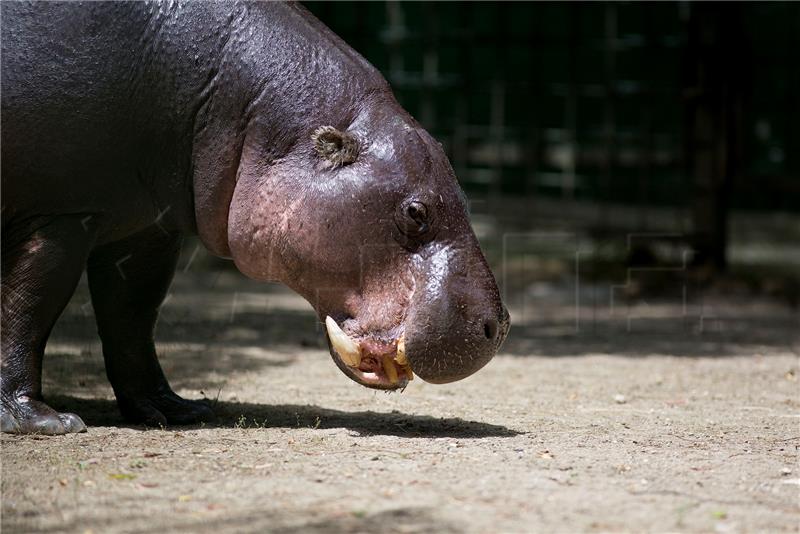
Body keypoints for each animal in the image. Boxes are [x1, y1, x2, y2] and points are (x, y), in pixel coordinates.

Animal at [1, 1, 506, 436]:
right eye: (416, 213)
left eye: (464, 194)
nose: (498, 327)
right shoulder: (62, 215)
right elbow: (30, 306)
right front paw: (43, 421)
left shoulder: (149, 228)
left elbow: (133, 314)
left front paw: (175, 410)